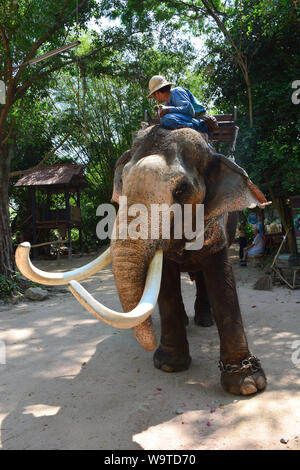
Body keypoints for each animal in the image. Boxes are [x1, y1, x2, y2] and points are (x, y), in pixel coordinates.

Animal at [14, 126, 270, 396]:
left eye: (181, 190)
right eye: (122, 183)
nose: (25, 245)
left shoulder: (217, 223)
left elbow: (222, 282)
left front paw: (247, 385)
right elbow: (165, 282)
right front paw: (169, 365)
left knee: (201, 277)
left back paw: (204, 321)